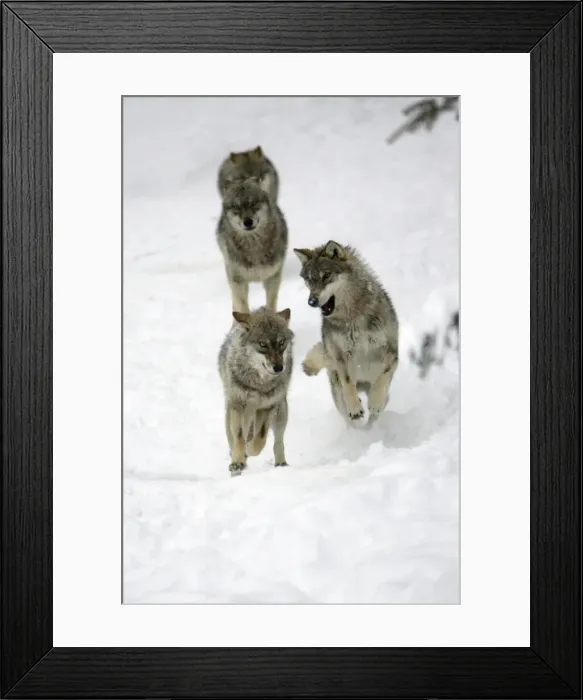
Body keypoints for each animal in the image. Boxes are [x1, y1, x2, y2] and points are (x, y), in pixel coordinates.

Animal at [216, 179, 288, 314]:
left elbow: (271, 304)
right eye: (237, 207)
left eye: (253, 203)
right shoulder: (238, 281)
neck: (254, 247)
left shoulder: (273, 277)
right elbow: (242, 308)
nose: (248, 222)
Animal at [218, 306, 294, 476]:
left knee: (278, 442)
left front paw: (250, 450)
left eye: (281, 343)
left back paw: (281, 464)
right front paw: (238, 461)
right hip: (232, 416)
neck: (259, 384)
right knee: (234, 441)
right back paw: (237, 466)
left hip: (281, 413)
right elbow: (240, 438)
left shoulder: (266, 408)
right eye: (263, 344)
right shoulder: (238, 406)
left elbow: (260, 439)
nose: (279, 368)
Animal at [293, 240, 399, 427]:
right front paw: (355, 408)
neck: (353, 317)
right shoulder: (340, 356)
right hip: (337, 393)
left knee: (376, 411)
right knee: (348, 415)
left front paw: (375, 402)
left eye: (326, 275)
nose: (311, 301)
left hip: (383, 394)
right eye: (309, 280)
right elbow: (348, 381)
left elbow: (383, 377)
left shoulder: (392, 352)